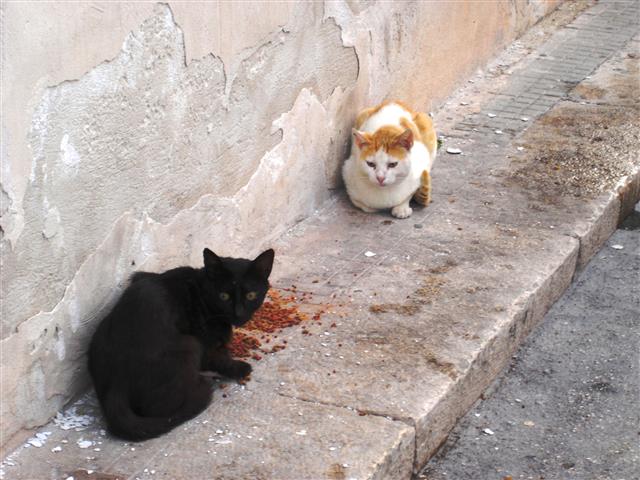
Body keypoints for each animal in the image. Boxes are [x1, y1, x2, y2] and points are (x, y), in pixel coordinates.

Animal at [88, 248, 274, 441]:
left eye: (251, 295)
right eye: (224, 296)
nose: (239, 314)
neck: (201, 290)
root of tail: (115, 387)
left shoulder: (140, 276)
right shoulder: (204, 337)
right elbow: (218, 357)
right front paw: (239, 368)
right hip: (188, 345)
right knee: (159, 409)